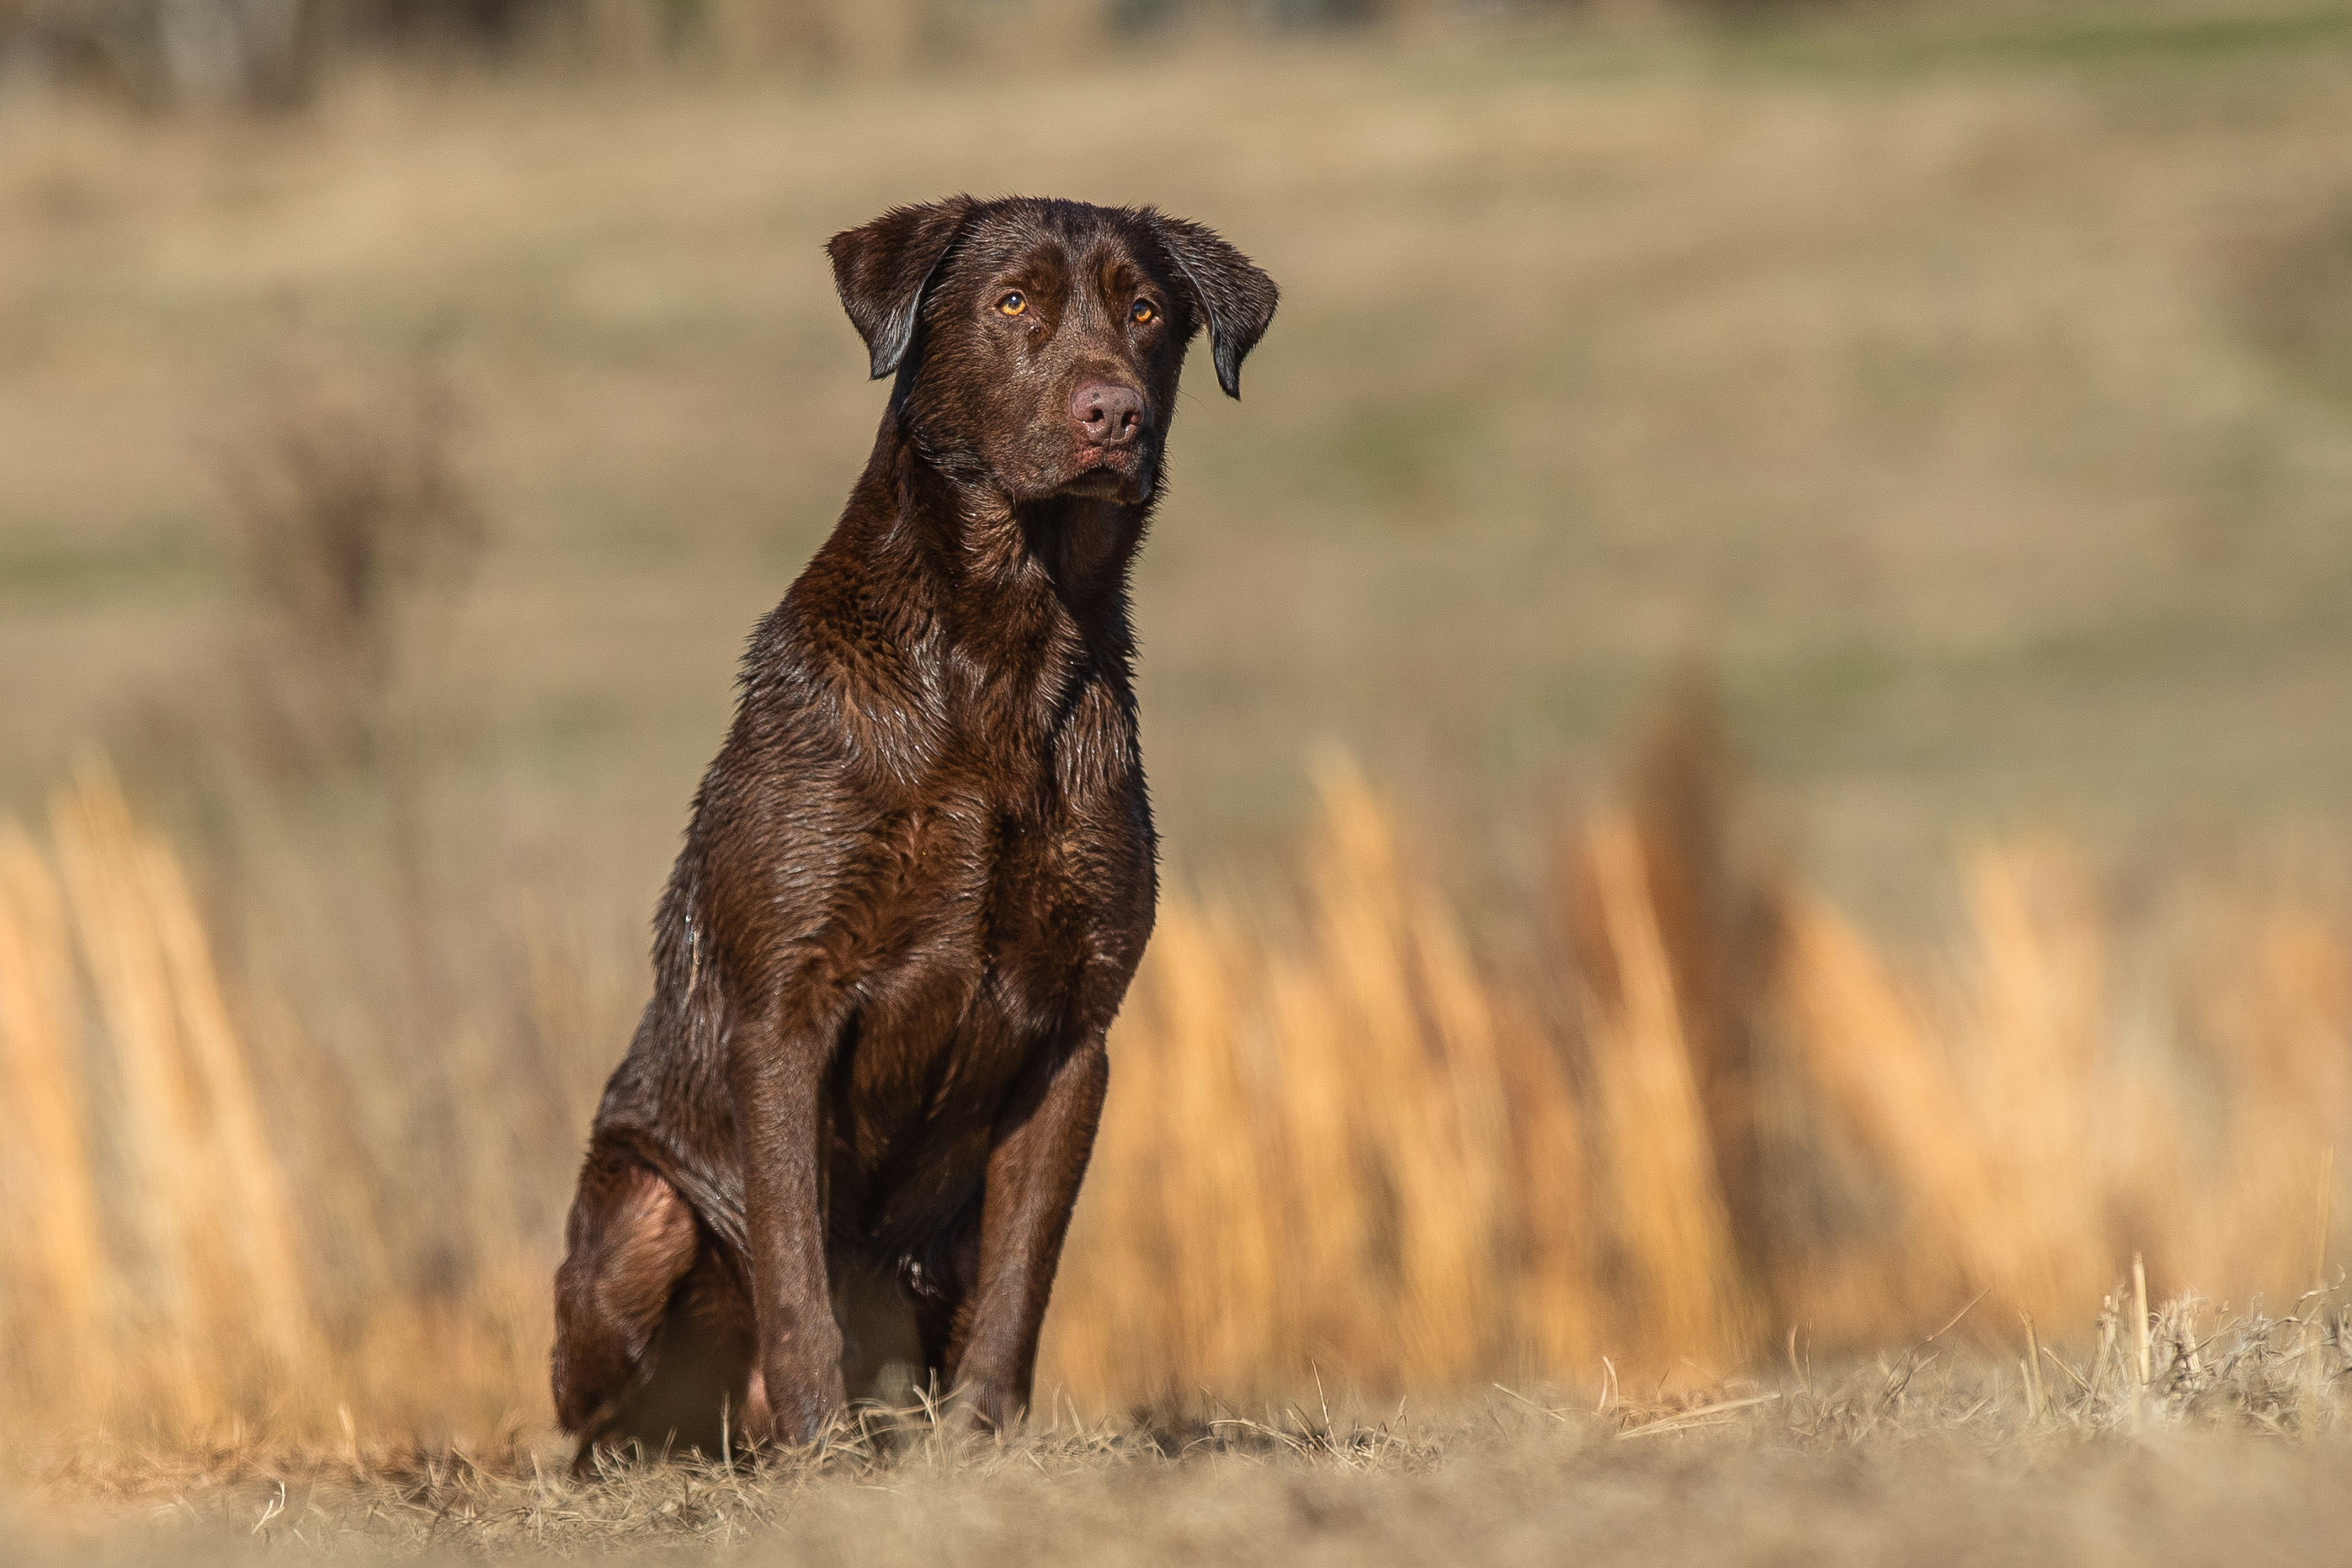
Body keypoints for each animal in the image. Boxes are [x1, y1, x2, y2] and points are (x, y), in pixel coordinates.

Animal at [550, 199, 1279, 1476]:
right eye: (1011, 302)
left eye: (1146, 311)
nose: (1112, 415)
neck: (1002, 646)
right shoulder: (783, 1011)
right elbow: (796, 1274)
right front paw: (824, 1452)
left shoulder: (1077, 1036)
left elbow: (1023, 1280)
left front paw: (980, 1441)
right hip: (641, 1210)